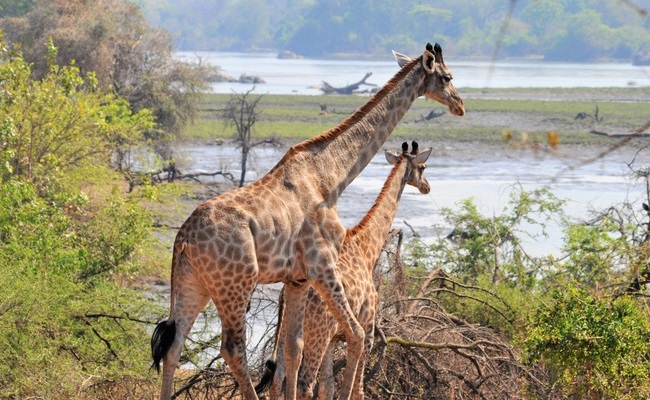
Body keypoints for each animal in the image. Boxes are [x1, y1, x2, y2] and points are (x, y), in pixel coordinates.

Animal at [256, 141, 430, 400]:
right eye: (423, 167)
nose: (427, 187)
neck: (367, 248)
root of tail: (282, 296)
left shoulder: (334, 339)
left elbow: (328, 388)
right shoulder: (367, 329)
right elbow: (357, 389)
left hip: (290, 331)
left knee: (278, 381)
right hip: (317, 333)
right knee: (304, 383)